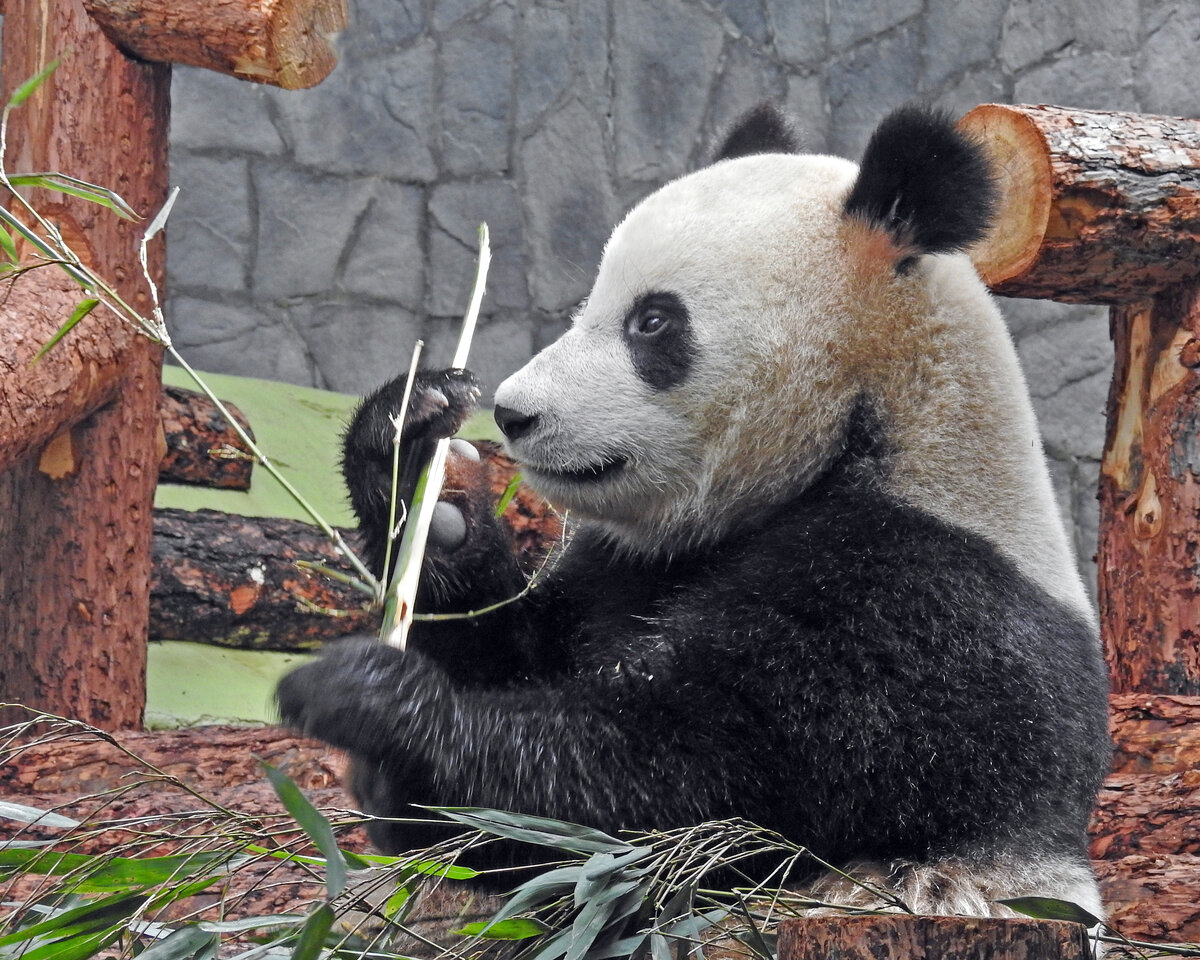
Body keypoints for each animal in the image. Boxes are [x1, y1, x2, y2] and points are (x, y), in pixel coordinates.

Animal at [276, 103, 1108, 916]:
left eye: (652, 321)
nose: (515, 413)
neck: (867, 426)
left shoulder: (917, 606)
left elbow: (689, 789)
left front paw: (372, 707)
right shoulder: (632, 562)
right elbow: (521, 650)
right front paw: (419, 457)